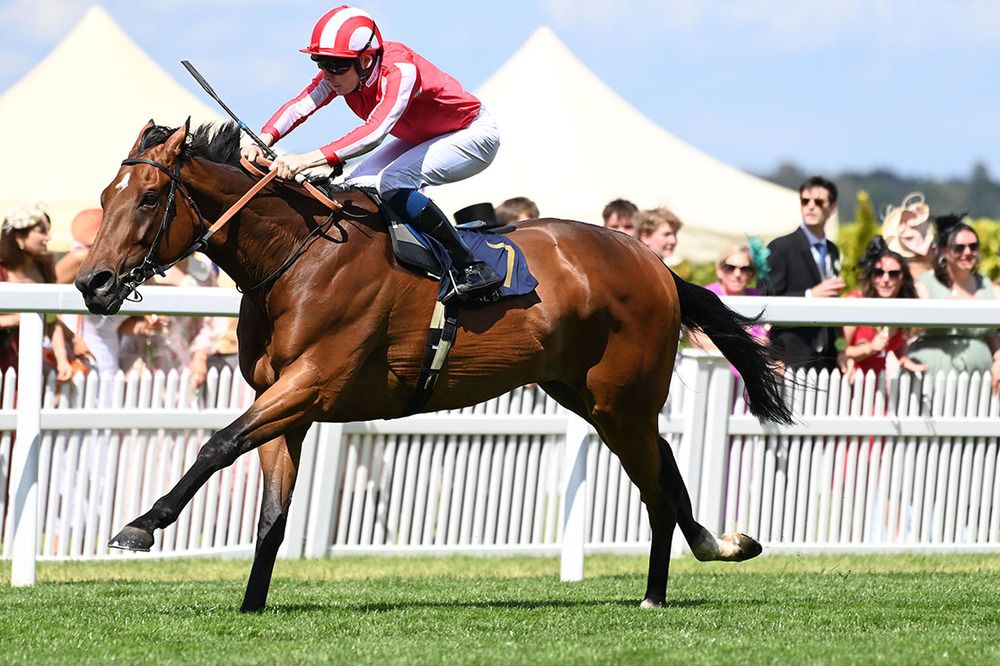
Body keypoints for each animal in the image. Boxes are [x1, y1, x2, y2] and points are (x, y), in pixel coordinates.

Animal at [74, 120, 792, 612]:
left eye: (147, 199)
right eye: (105, 196)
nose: (92, 283)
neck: (295, 256)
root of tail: (657, 264)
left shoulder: (313, 382)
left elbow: (218, 444)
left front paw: (140, 526)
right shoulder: (287, 402)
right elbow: (272, 516)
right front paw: (251, 605)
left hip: (622, 397)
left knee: (654, 486)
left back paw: (656, 593)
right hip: (587, 395)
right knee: (664, 468)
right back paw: (717, 546)